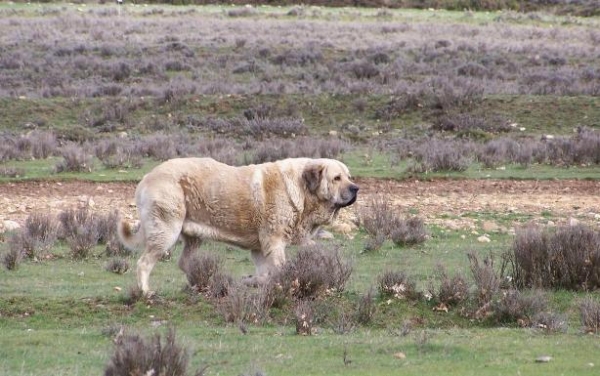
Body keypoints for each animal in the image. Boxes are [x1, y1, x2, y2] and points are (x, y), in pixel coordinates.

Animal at [119, 157, 358, 296]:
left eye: (349, 176)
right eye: (337, 178)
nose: (356, 188)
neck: (301, 188)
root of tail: (147, 176)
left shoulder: (260, 248)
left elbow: (265, 272)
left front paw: (257, 283)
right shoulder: (274, 242)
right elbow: (280, 269)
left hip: (192, 238)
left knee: (184, 262)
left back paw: (203, 285)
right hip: (166, 231)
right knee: (144, 263)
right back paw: (145, 291)